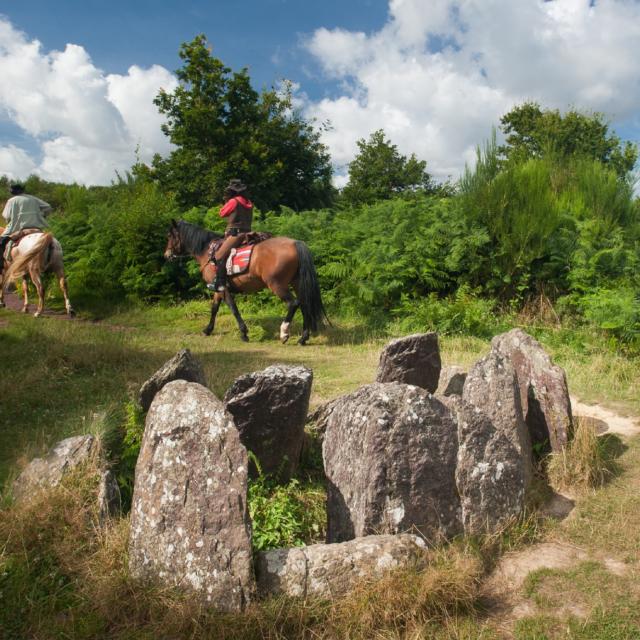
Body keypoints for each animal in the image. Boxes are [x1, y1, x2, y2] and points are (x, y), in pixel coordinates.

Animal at [162, 219, 328, 344]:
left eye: (169, 235)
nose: (166, 255)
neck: (208, 251)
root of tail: (295, 243)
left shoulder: (223, 289)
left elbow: (233, 308)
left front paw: (244, 333)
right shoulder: (218, 289)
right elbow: (214, 308)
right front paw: (208, 330)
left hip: (277, 285)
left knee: (293, 303)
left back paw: (284, 333)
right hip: (297, 283)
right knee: (305, 305)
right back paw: (303, 338)